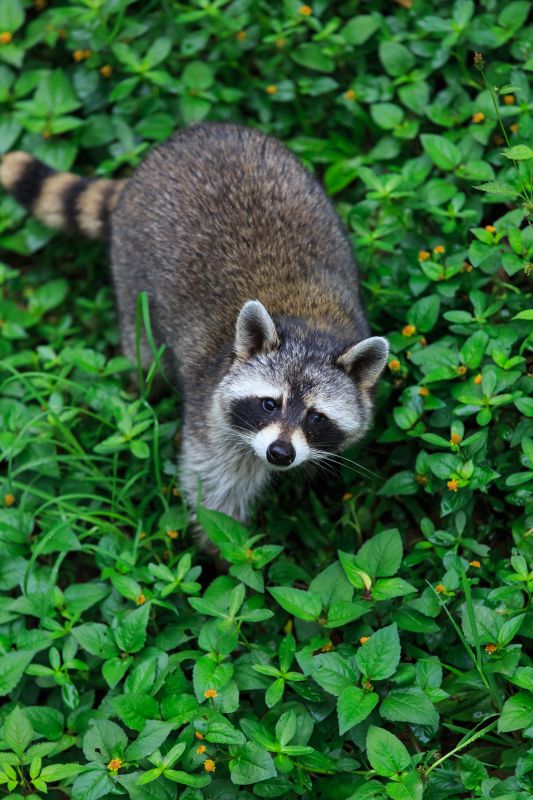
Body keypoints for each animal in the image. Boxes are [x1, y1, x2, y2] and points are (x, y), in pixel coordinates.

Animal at [0, 123, 388, 525]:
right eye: (269, 404)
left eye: (316, 417)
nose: (280, 454)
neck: (310, 326)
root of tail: (192, 134)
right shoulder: (211, 413)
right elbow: (214, 492)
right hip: (131, 272)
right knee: (144, 355)